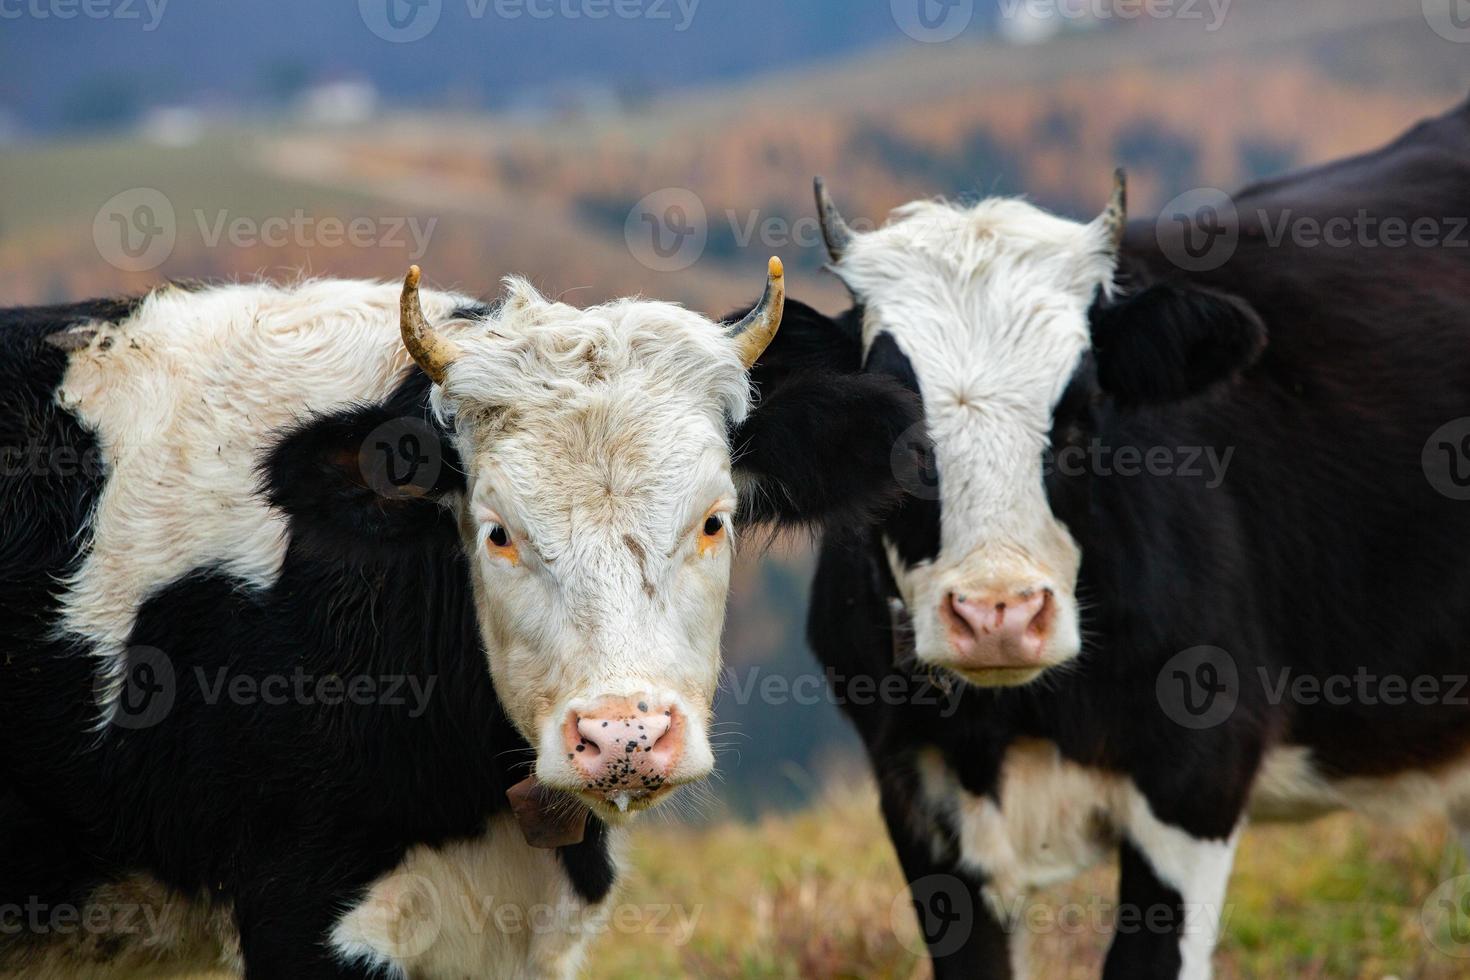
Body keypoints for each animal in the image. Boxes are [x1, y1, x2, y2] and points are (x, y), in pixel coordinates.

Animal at [752, 95, 1470, 975]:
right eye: (891, 421)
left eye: (1085, 407)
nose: (998, 616)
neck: (1010, 725)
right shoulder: (915, 798)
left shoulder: (1194, 778)